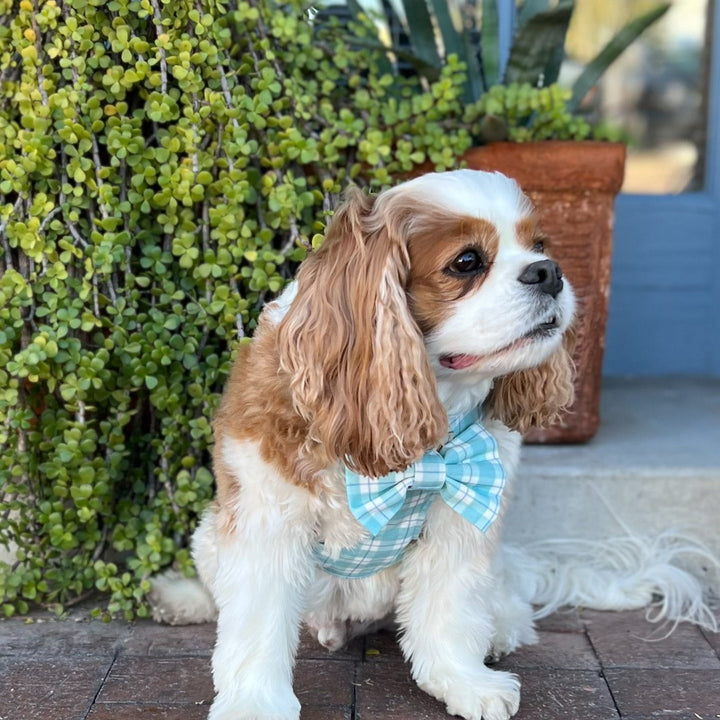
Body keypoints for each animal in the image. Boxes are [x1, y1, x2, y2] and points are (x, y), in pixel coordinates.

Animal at [150, 173, 572, 720]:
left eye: (539, 245)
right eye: (466, 262)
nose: (549, 271)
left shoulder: (462, 514)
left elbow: (450, 612)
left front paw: (463, 680)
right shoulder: (267, 519)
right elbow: (256, 627)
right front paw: (255, 704)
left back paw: (500, 628)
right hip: (208, 535)